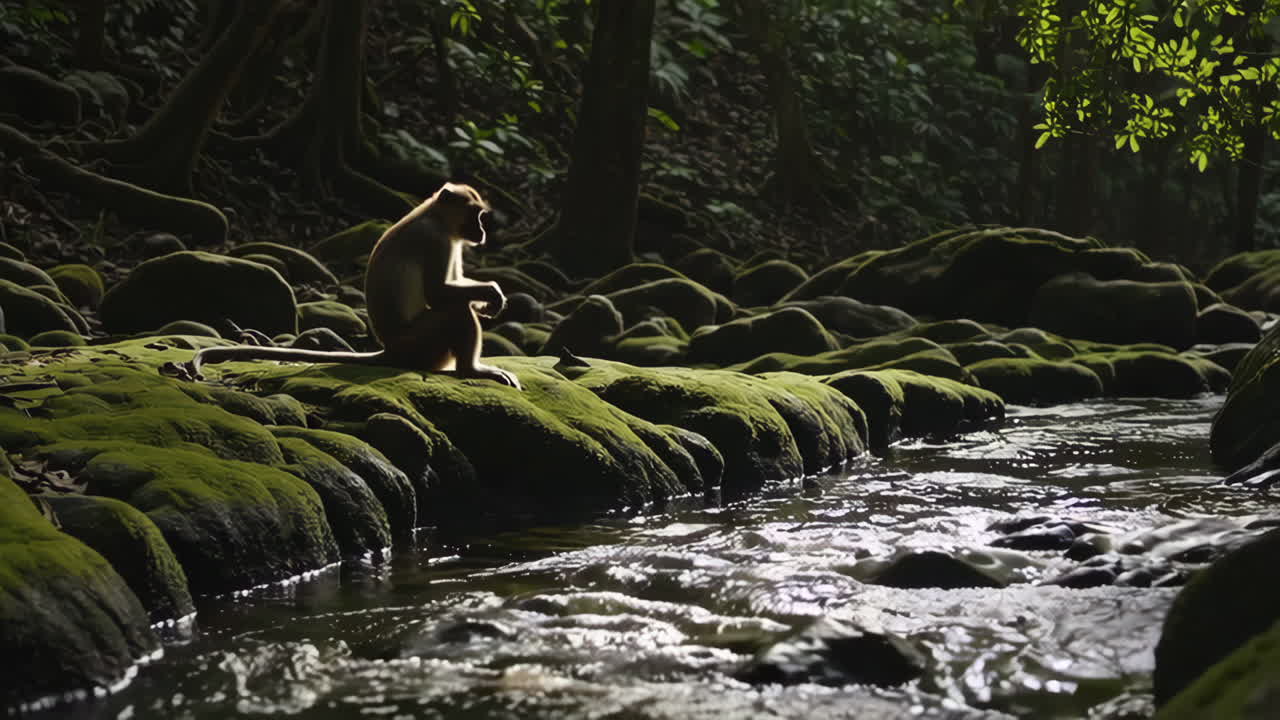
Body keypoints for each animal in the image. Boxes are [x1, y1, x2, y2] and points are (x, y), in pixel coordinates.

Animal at [187, 183, 522, 389]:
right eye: (475, 215)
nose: (482, 231)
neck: (434, 215)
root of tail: (390, 350)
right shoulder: (435, 238)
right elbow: (438, 293)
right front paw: (492, 293)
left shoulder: (451, 240)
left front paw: (490, 300)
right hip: (421, 344)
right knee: (454, 311)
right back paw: (470, 370)